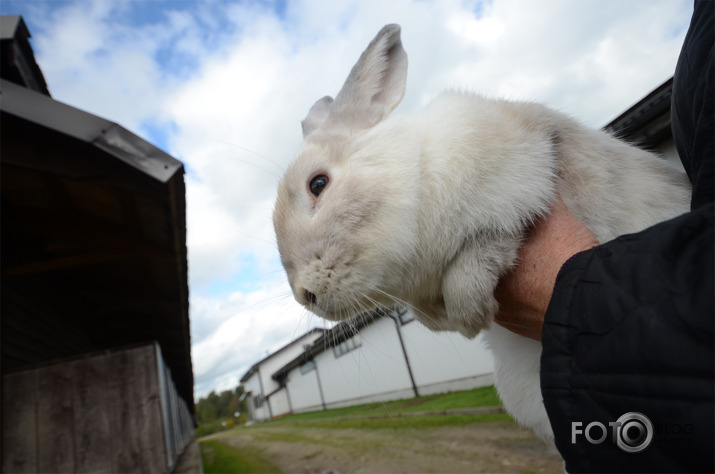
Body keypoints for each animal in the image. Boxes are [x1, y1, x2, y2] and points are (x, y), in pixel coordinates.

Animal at [272, 24, 688, 442]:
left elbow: (485, 247)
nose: (306, 295)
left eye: (318, 184)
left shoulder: (525, 188)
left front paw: (469, 312)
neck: (417, 174)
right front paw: (445, 318)